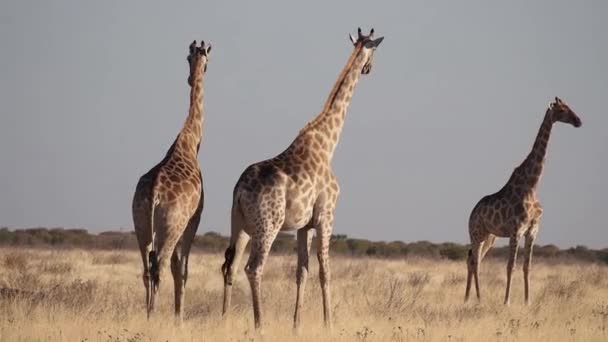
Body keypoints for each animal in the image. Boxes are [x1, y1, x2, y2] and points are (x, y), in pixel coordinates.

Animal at [131, 40, 211, 320]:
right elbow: (183, 271)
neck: (190, 140)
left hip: (141, 224)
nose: (190, 78)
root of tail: (154, 192)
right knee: (161, 268)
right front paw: (179, 318)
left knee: (147, 270)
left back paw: (147, 314)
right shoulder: (194, 218)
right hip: (171, 226)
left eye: (189, 58)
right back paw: (153, 316)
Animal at [221, 28, 384, 330]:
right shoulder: (326, 216)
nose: (368, 69)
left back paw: (224, 320)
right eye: (375, 50)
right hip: (268, 225)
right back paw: (260, 325)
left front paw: (296, 324)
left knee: (231, 266)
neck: (328, 144)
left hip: (240, 225)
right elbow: (324, 271)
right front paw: (328, 323)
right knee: (253, 268)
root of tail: (239, 190)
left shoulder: (303, 226)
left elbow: (302, 271)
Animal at [468, 96, 580, 304]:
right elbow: (510, 266)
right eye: (562, 110)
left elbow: (527, 266)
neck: (532, 186)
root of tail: (472, 212)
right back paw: (479, 298)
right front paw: (507, 302)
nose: (578, 121)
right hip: (476, 233)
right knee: (475, 261)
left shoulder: (533, 231)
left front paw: (528, 301)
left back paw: (470, 298)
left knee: (473, 259)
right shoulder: (516, 230)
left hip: (489, 236)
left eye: (569, 106)